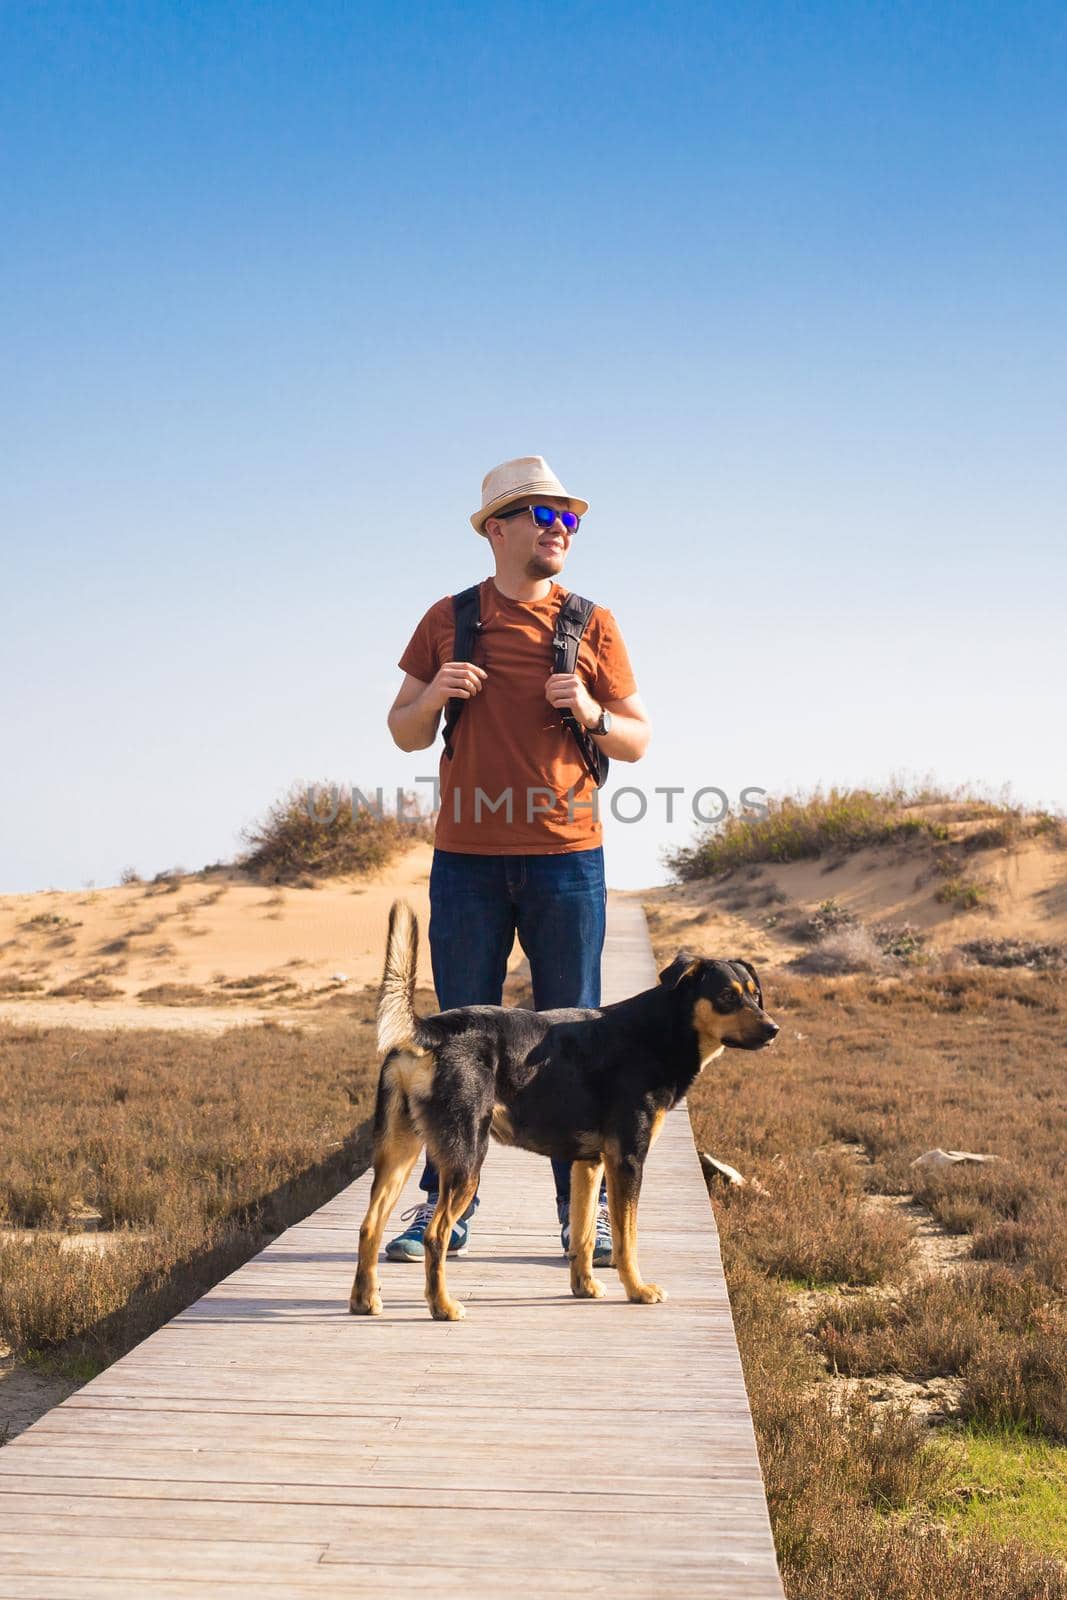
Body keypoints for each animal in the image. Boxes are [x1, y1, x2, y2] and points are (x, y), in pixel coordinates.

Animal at [355, 902, 780, 1324]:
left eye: (755, 995)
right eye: (726, 996)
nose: (773, 1029)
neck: (661, 1030)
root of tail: (430, 1030)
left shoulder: (588, 1164)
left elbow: (584, 1233)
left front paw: (584, 1286)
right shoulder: (627, 1159)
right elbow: (627, 1239)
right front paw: (637, 1289)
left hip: (399, 1153)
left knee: (369, 1226)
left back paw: (364, 1299)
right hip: (467, 1160)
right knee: (435, 1235)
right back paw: (442, 1305)